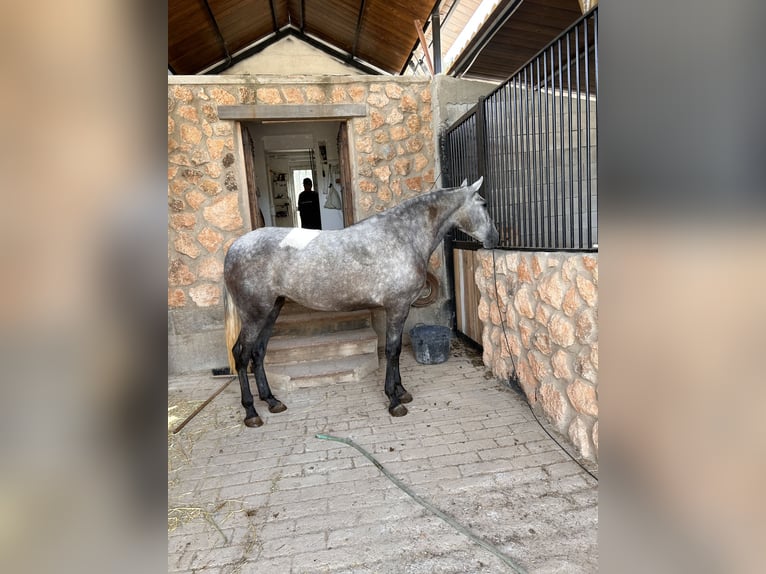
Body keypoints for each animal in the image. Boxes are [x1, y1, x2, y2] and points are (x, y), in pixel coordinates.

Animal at [224, 179, 498, 428]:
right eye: (484, 203)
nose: (495, 238)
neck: (403, 236)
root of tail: (234, 248)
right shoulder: (396, 307)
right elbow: (392, 351)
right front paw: (394, 401)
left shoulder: (400, 309)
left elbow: (396, 351)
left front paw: (401, 392)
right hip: (254, 315)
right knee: (241, 354)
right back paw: (251, 413)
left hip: (272, 310)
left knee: (258, 353)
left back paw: (272, 401)